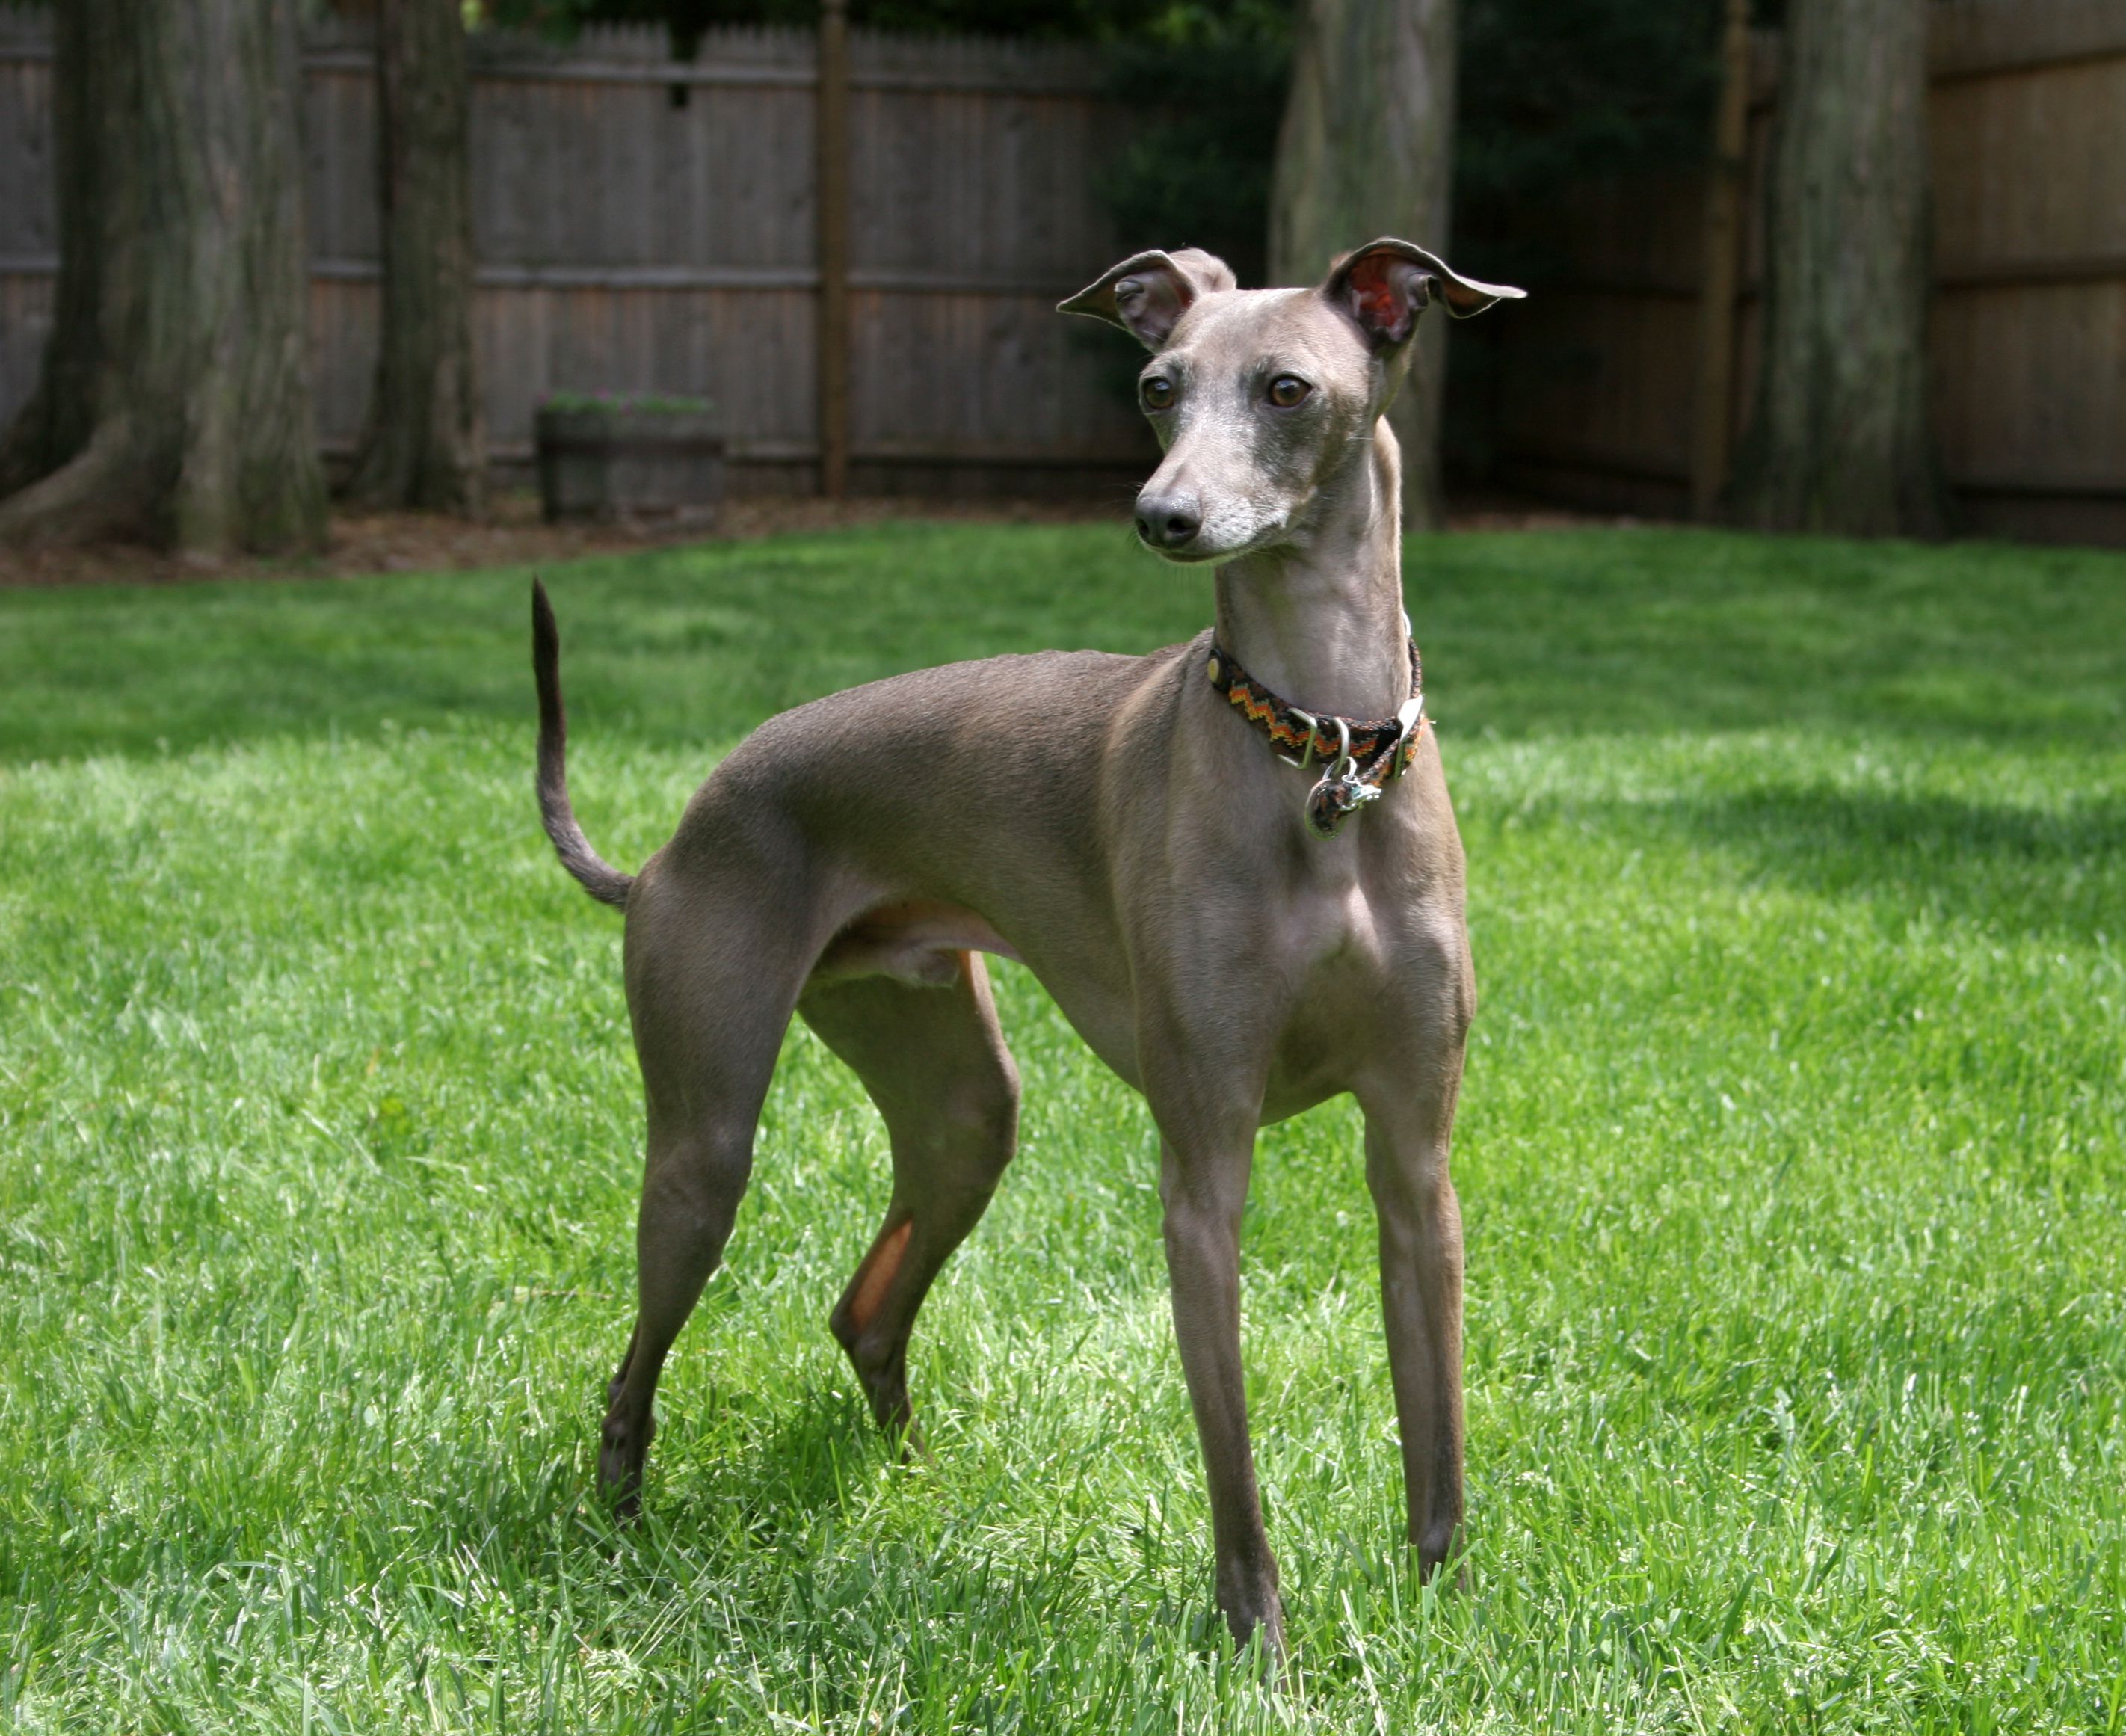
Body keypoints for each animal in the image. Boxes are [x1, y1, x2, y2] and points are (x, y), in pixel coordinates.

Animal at [540, 234, 1522, 1651]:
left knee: (867, 1305)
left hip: (960, 1102)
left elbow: (1434, 1433)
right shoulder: (1203, 1161)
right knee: (636, 1364)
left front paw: (1442, 1616)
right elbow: (1232, 1461)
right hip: (704, 1141)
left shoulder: (1414, 1156)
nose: (1163, 514)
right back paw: (621, 1530)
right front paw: (1260, 1643)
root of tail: (672, 840)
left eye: (1286, 388)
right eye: (1159, 388)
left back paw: (912, 1485)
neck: (1323, 755)